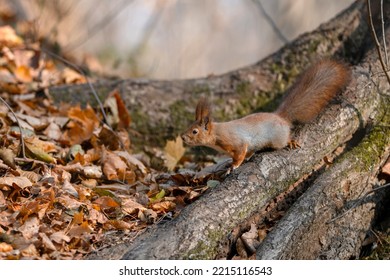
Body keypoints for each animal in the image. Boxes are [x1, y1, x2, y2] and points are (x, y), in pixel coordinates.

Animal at [182, 60, 350, 170]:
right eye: (189, 127)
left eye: (194, 131)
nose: (182, 137)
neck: (216, 134)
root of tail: (281, 117)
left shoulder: (236, 142)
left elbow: (240, 153)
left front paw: (234, 165)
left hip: (278, 139)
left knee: (283, 140)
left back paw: (290, 142)